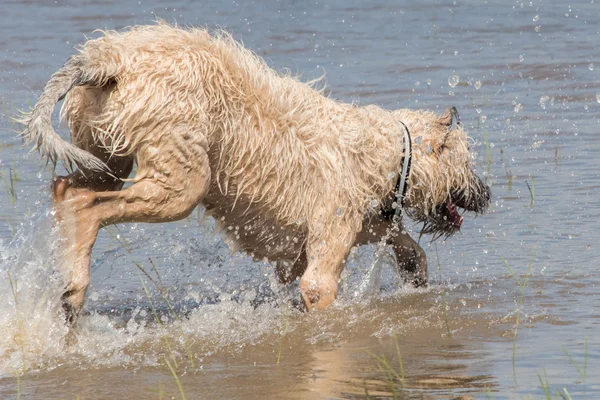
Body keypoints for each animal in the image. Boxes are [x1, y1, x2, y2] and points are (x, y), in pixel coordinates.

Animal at [21, 22, 490, 322]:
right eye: (468, 161)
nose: (485, 195)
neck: (388, 152)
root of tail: (108, 61)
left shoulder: (362, 222)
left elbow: (408, 247)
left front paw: (415, 276)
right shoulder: (336, 223)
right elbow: (318, 288)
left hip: (103, 145)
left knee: (69, 189)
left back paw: (69, 287)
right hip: (179, 178)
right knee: (89, 204)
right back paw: (75, 288)